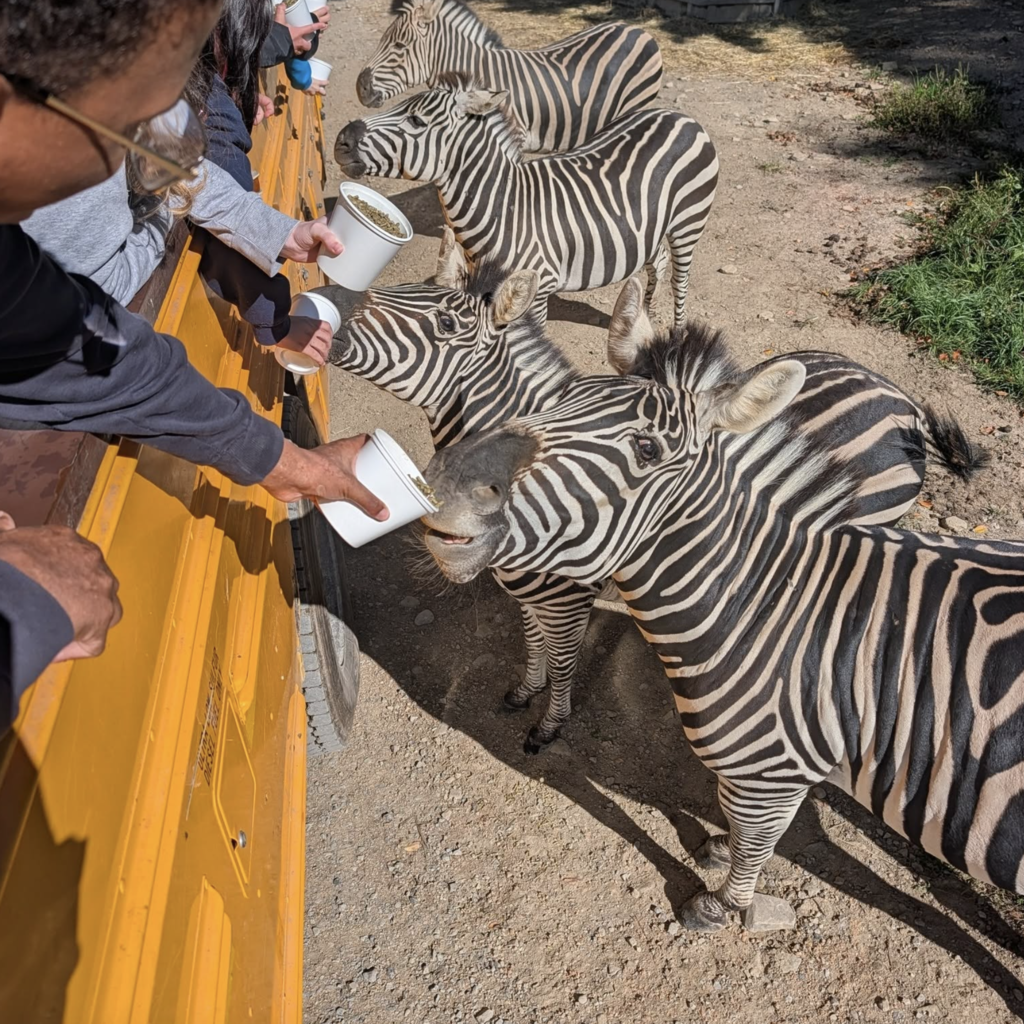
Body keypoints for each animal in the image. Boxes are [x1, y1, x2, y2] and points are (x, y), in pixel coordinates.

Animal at [329, 261, 980, 753]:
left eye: (442, 323)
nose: (325, 312)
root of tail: (900, 397)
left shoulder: (568, 598)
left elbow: (561, 660)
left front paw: (549, 724)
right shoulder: (526, 588)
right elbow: (531, 641)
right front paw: (523, 691)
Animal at [335, 72, 719, 328]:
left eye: (416, 120)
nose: (341, 140)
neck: (503, 206)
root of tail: (681, 117)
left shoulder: (538, 286)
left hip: (688, 222)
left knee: (679, 279)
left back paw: (676, 332)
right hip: (652, 226)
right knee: (658, 261)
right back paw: (645, 315)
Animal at [417, 320, 1016, 931]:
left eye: (648, 449)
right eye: (558, 402)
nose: (440, 484)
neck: (771, 607)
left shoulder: (774, 771)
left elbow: (757, 838)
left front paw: (720, 905)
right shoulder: (764, 774)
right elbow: (737, 817)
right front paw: (720, 848)